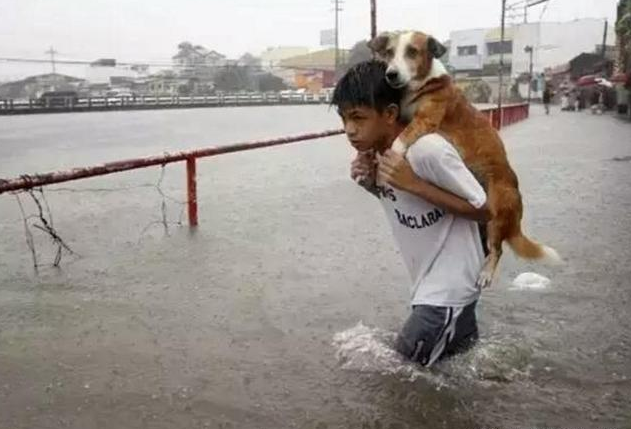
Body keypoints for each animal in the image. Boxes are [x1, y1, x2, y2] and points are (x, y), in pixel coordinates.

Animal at [368, 30, 560, 288]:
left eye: (412, 52)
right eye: (389, 52)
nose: (391, 74)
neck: (421, 84)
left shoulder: (425, 120)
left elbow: (400, 140)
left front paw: (392, 157)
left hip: (496, 213)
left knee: (498, 250)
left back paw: (486, 274)